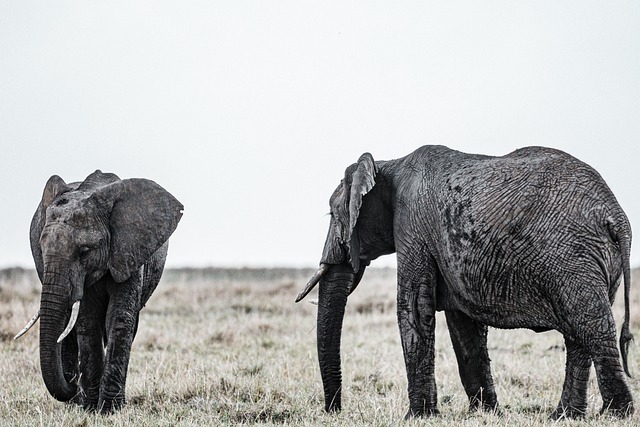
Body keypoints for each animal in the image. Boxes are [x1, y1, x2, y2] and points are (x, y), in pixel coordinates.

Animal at [14, 171, 182, 414]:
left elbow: (119, 318)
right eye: (41, 250)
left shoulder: (128, 252)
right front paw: (92, 407)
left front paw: (110, 409)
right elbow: (88, 321)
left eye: (84, 251)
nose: (73, 384)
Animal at [296, 145, 636, 420]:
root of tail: (617, 216)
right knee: (579, 334)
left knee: (592, 325)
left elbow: (414, 308)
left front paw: (418, 417)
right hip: (593, 260)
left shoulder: (412, 226)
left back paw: (615, 414)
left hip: (573, 256)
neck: (388, 163)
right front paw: (486, 414)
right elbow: (463, 324)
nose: (335, 411)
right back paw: (564, 416)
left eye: (332, 214)